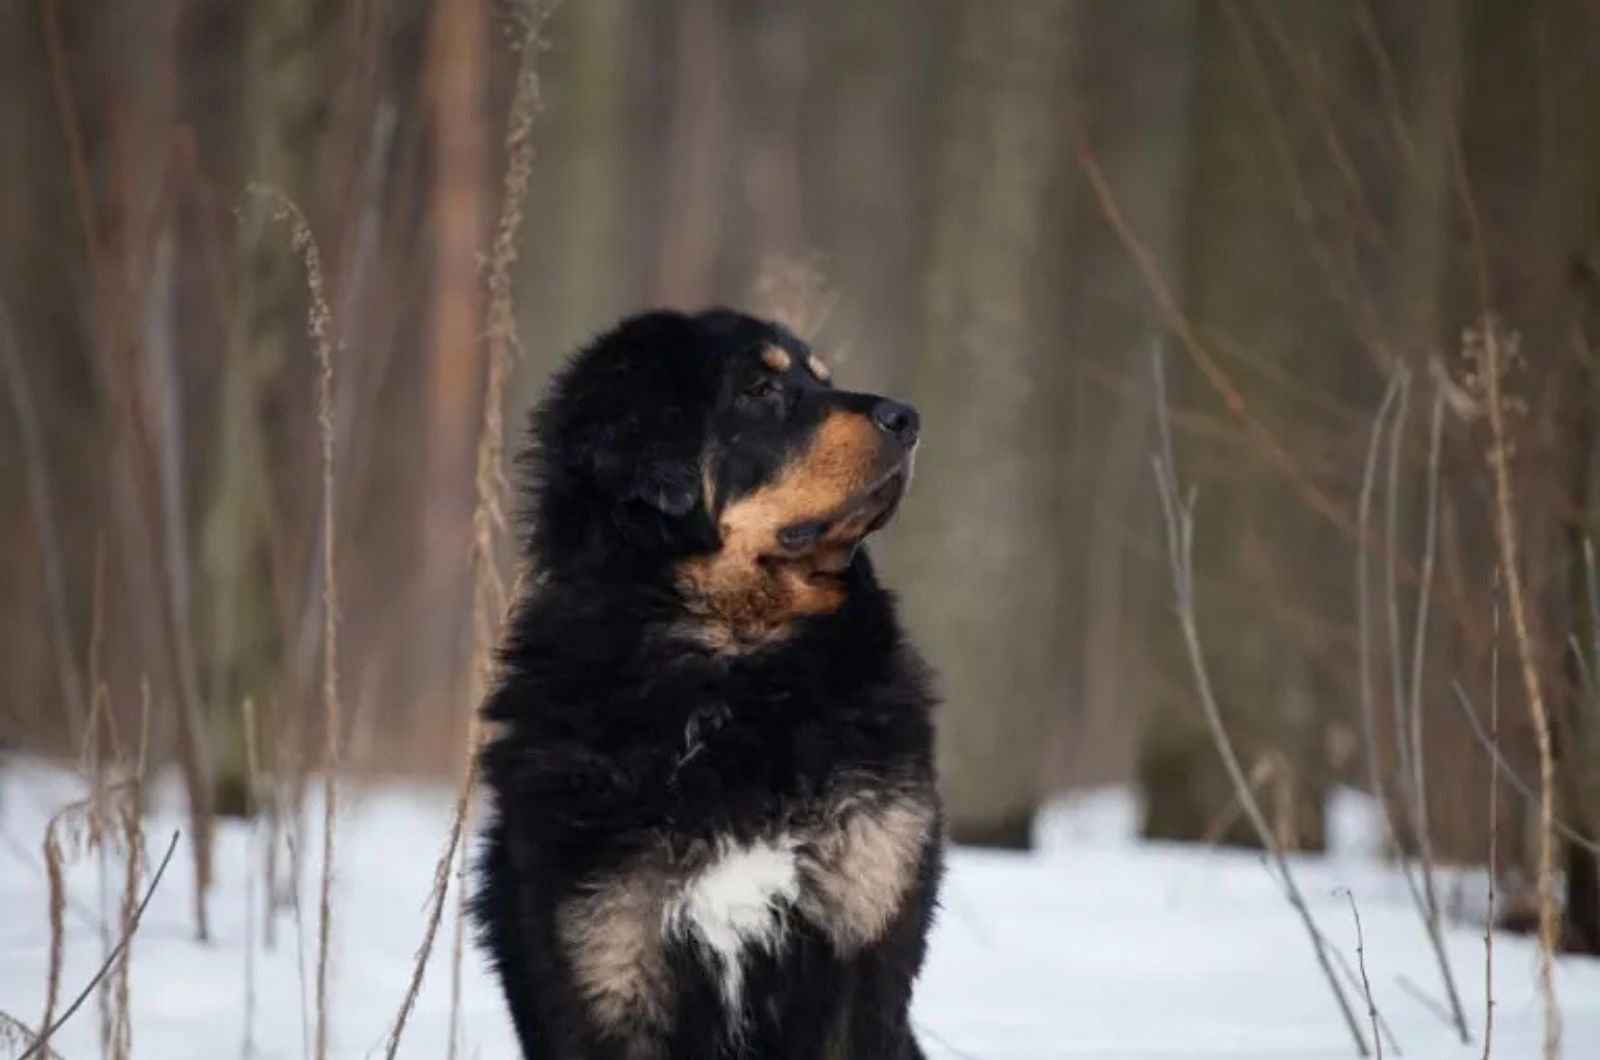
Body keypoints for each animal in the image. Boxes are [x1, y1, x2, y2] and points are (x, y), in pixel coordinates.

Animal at [473, 309, 940, 1060]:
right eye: (759, 389)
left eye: (821, 379)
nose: (908, 417)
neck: (733, 668)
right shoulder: (606, 969)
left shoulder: (866, 939)